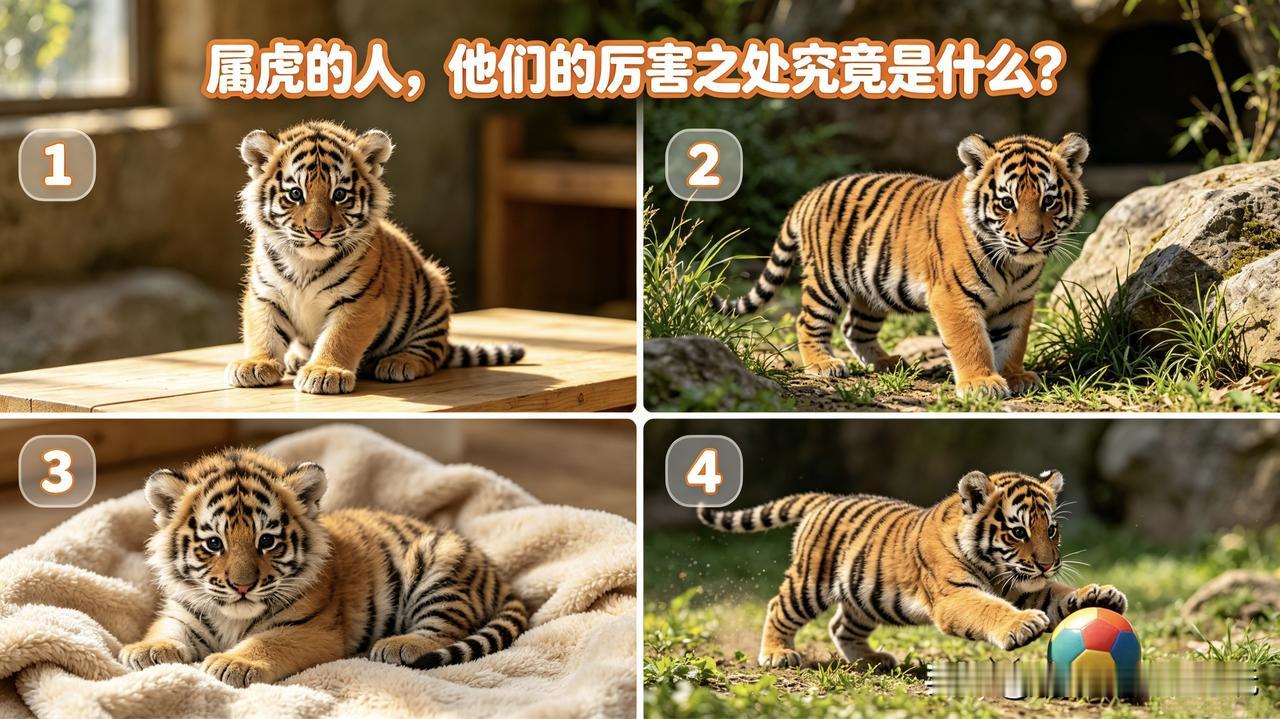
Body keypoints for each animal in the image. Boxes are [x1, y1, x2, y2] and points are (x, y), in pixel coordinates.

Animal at [119, 447, 528, 687]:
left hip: (439, 570)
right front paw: (145, 649)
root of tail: (495, 570)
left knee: (446, 629)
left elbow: (266, 643)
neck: (232, 618)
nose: (242, 586)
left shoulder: (309, 629)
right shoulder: (185, 613)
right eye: (214, 544)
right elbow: (167, 628)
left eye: (266, 541)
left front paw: (232, 663)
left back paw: (398, 644)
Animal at [226, 120, 524, 395]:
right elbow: (262, 332)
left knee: (430, 354)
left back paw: (399, 363)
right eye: (296, 194)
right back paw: (297, 358)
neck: (305, 263)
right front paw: (254, 364)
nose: (318, 231)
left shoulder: (358, 300)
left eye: (339, 194)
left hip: (435, 288)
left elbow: (339, 337)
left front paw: (324, 372)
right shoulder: (265, 295)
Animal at [697, 469, 1126, 669]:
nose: (1048, 563)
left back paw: (872, 661)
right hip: (809, 583)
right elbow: (989, 608)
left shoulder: (1025, 587)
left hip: (865, 596)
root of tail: (827, 498)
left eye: (1051, 529)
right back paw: (777, 654)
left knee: (840, 626)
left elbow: (1058, 596)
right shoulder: (955, 596)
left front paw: (1100, 594)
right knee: (777, 608)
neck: (995, 567)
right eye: (1018, 531)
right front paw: (1021, 626)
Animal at [712, 133, 1090, 397]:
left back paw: (886, 362)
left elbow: (1012, 341)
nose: (1030, 240)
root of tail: (809, 195)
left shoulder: (1018, 302)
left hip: (871, 288)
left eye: (1049, 201)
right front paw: (981, 382)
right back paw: (823, 364)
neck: (1013, 264)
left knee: (854, 328)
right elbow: (972, 341)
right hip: (827, 281)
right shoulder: (953, 297)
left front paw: (1014, 376)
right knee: (808, 322)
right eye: (1007, 203)